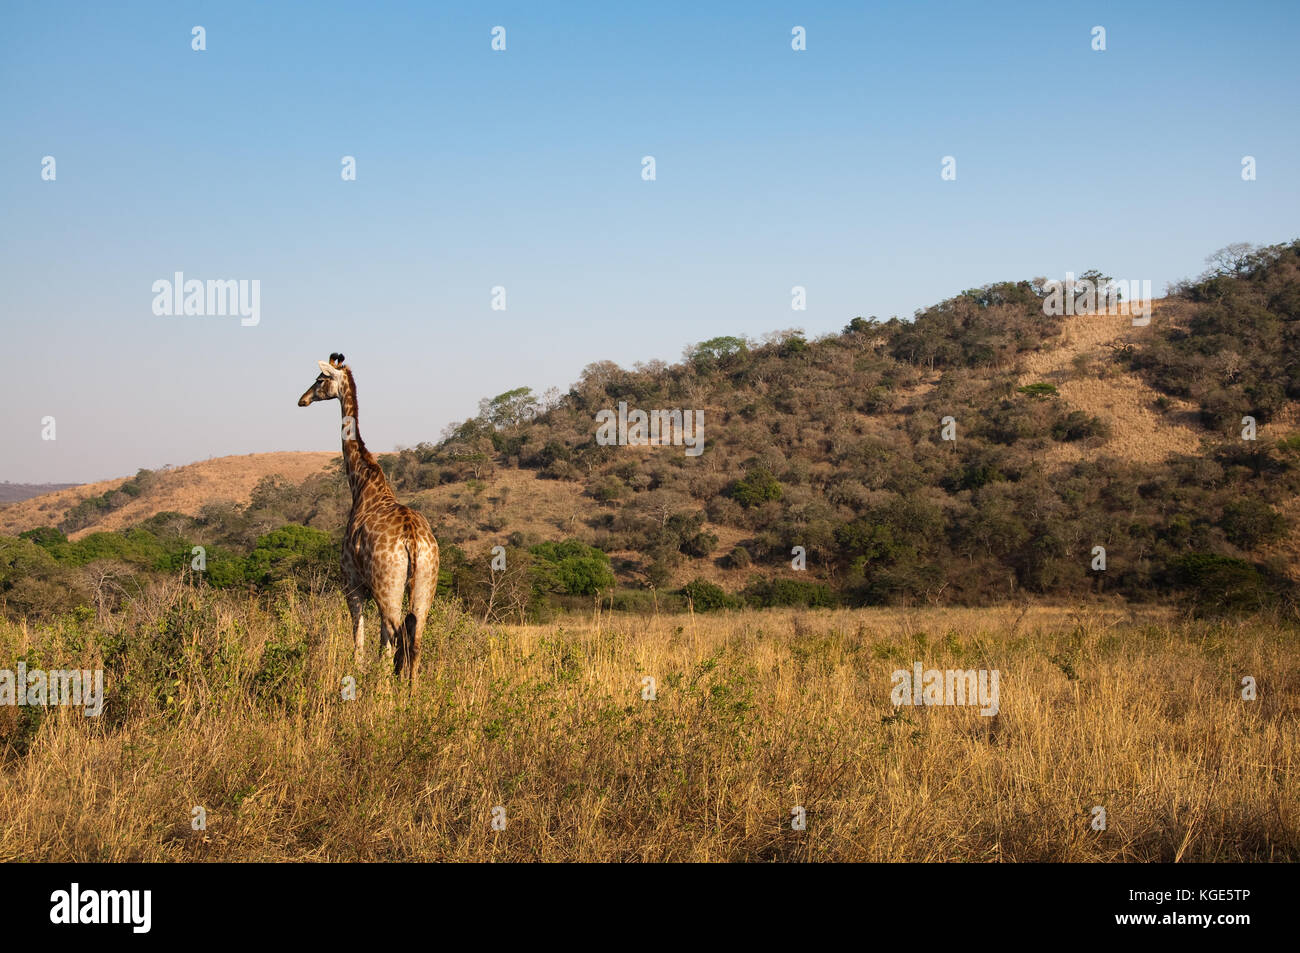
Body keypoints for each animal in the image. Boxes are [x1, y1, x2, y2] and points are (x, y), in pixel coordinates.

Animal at [297, 353, 439, 681]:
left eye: (319, 379)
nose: (302, 400)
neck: (362, 484)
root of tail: (413, 540)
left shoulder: (352, 581)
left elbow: (359, 636)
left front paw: (359, 673)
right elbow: (381, 643)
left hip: (389, 586)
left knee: (398, 635)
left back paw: (393, 687)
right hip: (424, 586)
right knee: (415, 638)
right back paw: (411, 688)